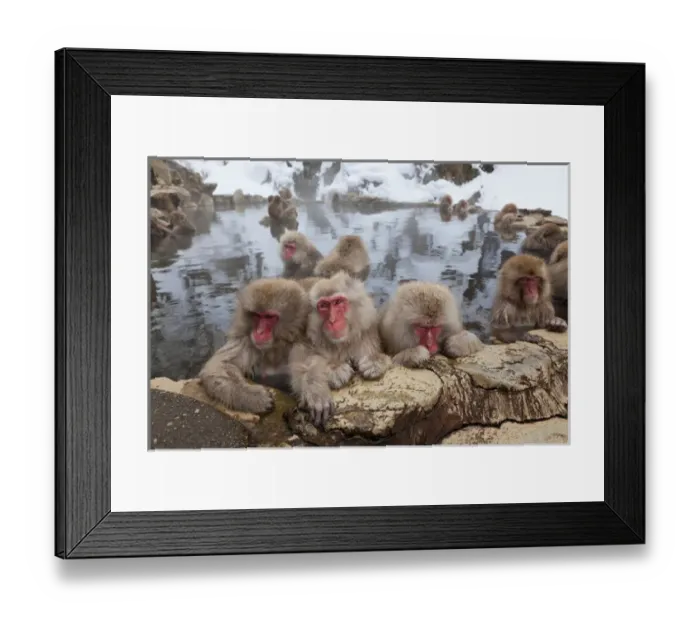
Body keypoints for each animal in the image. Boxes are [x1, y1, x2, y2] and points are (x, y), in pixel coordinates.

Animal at [198, 278, 311, 413]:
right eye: (256, 315)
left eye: (269, 317)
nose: (259, 332)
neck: (274, 347)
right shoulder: (245, 340)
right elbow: (218, 365)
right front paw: (252, 396)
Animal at [289, 271, 392, 426]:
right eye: (323, 305)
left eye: (338, 302)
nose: (332, 320)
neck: (340, 343)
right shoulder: (304, 337)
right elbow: (301, 366)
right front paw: (318, 388)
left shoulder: (366, 333)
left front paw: (374, 360)